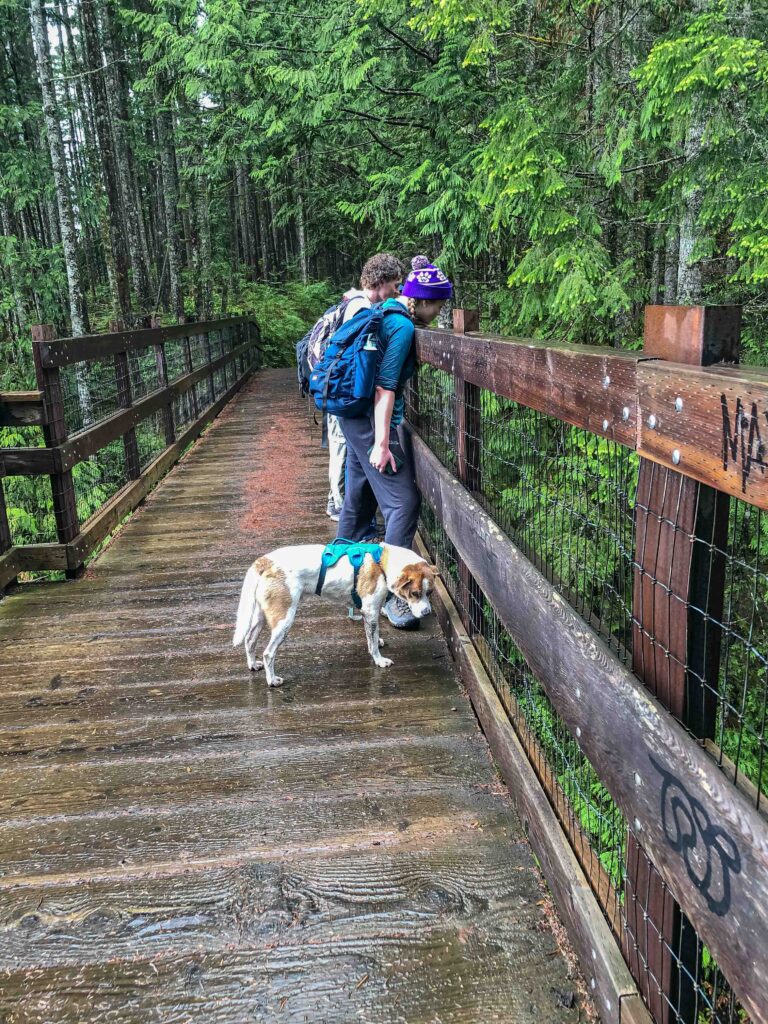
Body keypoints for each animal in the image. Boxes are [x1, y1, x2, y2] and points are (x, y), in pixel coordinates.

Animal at [231, 544, 436, 688]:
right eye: (415, 593)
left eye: (430, 592)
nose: (427, 612)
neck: (382, 564)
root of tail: (265, 560)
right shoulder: (370, 610)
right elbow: (373, 642)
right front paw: (379, 660)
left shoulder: (368, 613)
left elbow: (372, 636)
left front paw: (376, 643)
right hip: (284, 620)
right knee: (268, 653)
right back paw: (272, 680)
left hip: (260, 616)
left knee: (249, 640)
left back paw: (252, 664)